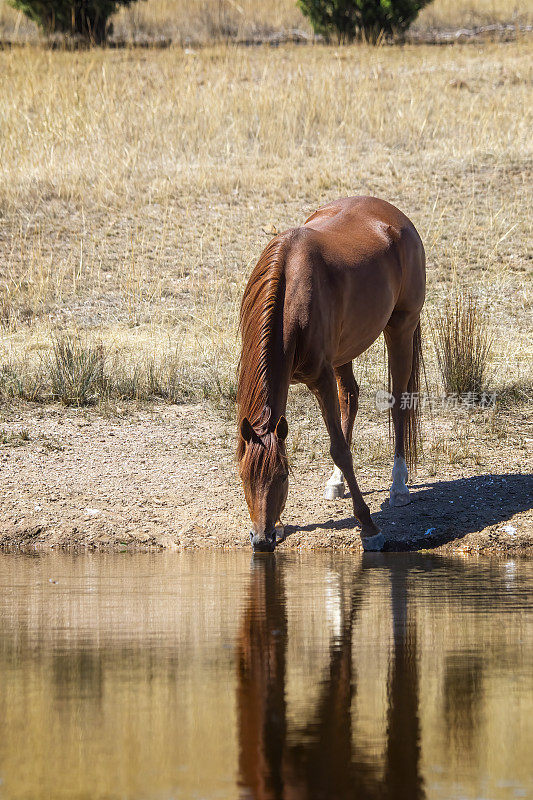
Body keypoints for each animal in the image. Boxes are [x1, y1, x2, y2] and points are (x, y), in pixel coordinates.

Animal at [237, 197, 424, 552]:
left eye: (283, 476)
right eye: (243, 477)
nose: (262, 540)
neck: (291, 292)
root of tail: (396, 217)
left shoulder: (320, 379)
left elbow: (339, 448)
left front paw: (369, 527)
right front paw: (279, 525)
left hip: (401, 328)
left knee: (399, 404)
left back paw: (399, 486)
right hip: (344, 352)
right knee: (351, 396)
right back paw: (337, 482)